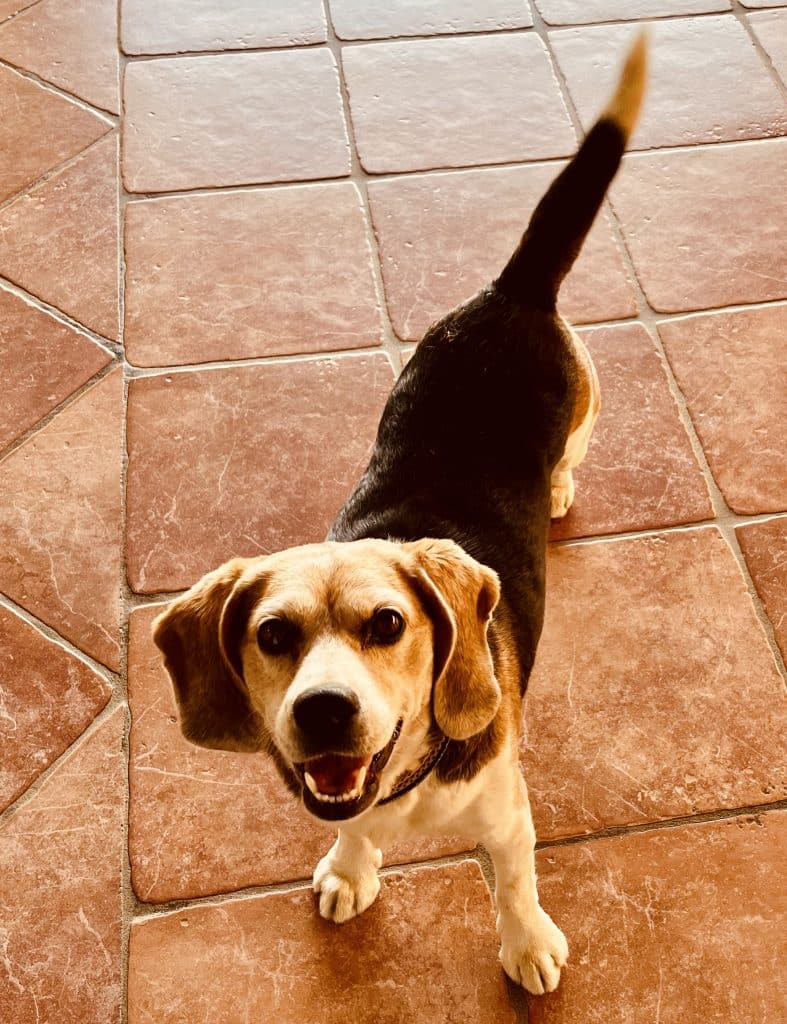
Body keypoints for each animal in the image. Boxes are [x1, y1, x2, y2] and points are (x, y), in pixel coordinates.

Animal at [152, 35, 646, 996]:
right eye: (272, 636)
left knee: (575, 448)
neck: (403, 786)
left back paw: (559, 486)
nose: (323, 712)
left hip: (589, 400)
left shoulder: (506, 815)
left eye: (387, 624)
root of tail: (510, 293)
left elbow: (514, 884)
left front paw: (526, 945)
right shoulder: (338, 794)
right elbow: (347, 827)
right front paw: (351, 869)